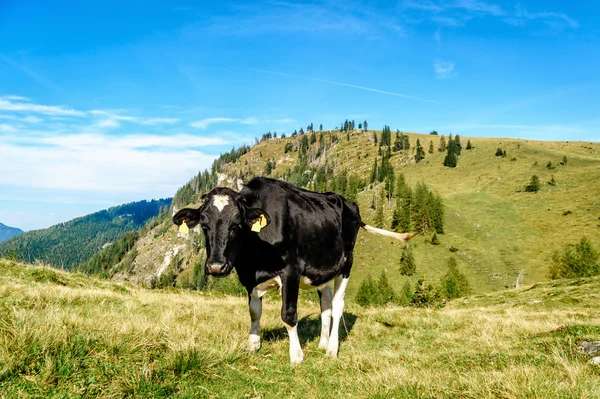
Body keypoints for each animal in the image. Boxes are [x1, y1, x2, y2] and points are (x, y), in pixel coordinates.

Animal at [173, 177, 414, 364]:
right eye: (204, 226)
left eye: (236, 225)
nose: (215, 266)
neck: (255, 254)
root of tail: (346, 202)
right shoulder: (250, 278)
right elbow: (254, 312)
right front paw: (253, 345)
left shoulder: (290, 271)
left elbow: (288, 315)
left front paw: (296, 356)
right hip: (322, 270)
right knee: (326, 304)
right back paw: (322, 342)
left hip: (347, 262)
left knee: (337, 305)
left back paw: (332, 348)